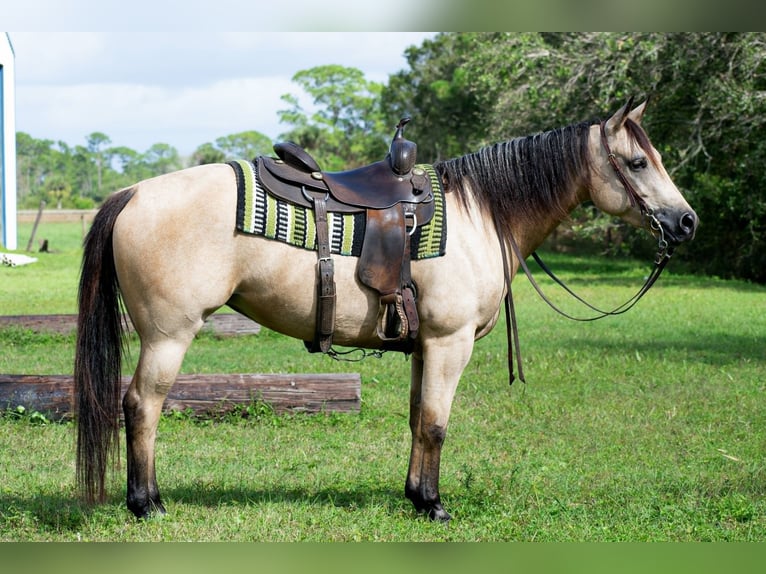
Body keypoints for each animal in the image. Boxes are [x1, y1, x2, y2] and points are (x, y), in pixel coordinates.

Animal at [75, 99, 700, 520]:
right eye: (637, 163)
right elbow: (438, 423)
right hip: (168, 336)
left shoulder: (426, 346)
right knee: (142, 406)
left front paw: (416, 496)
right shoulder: (450, 343)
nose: (687, 221)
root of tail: (133, 193)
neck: (480, 214)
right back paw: (147, 503)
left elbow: (418, 420)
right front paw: (435, 506)